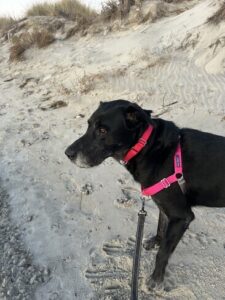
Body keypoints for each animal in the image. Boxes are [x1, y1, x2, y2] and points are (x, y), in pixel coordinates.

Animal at [64, 99, 225, 290]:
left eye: (102, 130)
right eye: (88, 125)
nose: (68, 153)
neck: (149, 148)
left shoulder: (181, 216)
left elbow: (163, 253)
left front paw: (156, 279)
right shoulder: (164, 207)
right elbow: (161, 227)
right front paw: (155, 241)